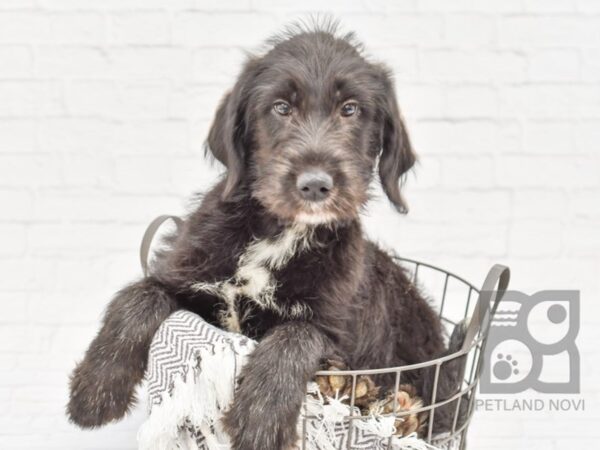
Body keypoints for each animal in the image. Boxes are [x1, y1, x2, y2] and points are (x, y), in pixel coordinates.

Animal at [68, 23, 458, 450]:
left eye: (350, 108)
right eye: (281, 107)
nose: (315, 185)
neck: (280, 232)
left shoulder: (338, 337)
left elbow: (295, 334)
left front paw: (260, 419)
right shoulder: (185, 276)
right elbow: (140, 294)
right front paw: (96, 389)